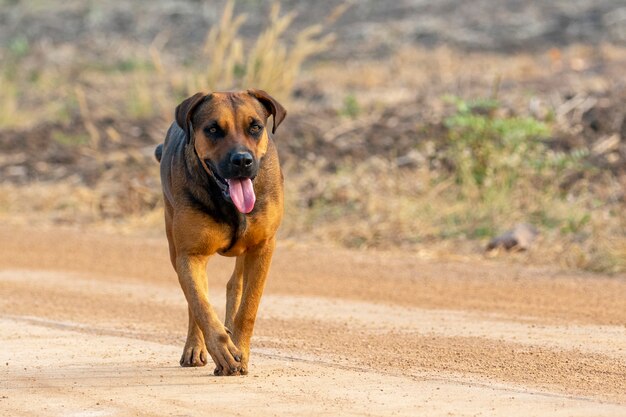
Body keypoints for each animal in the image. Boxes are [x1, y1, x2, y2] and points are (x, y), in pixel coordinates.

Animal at [154, 88, 286, 374]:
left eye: (255, 127)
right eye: (213, 129)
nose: (242, 160)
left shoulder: (263, 247)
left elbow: (248, 308)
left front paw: (241, 351)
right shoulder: (189, 254)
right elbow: (200, 305)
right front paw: (223, 350)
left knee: (235, 284)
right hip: (173, 242)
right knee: (194, 299)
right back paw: (195, 348)